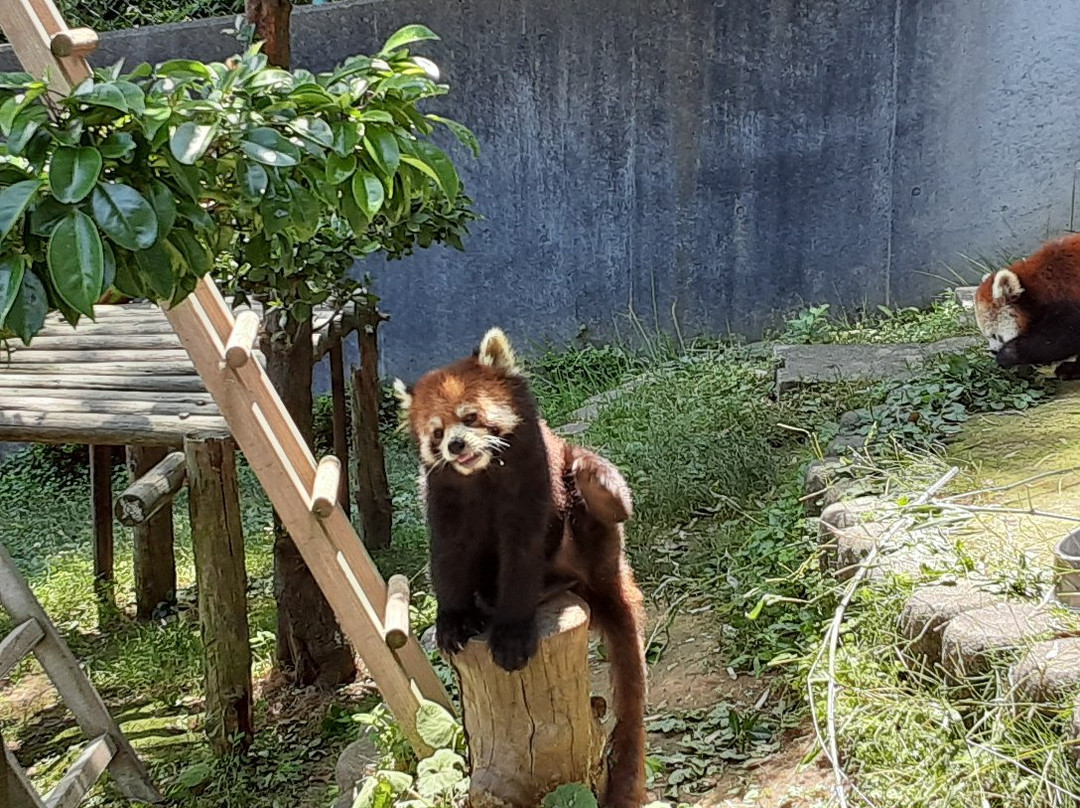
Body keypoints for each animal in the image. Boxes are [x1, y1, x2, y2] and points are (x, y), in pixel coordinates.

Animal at [397, 328, 648, 808]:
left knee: (593, 490)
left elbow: (521, 558)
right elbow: (449, 559)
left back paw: (593, 497)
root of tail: (606, 576)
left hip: (592, 534)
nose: (456, 445)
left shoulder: (534, 483)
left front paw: (511, 634)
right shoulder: (444, 502)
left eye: (471, 417)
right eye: (437, 433)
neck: (483, 478)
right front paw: (453, 621)